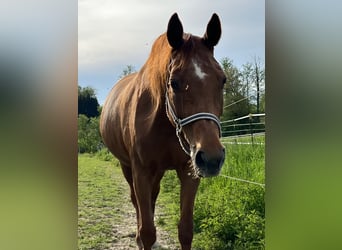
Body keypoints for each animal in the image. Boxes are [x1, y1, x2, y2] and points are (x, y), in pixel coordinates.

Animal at [100, 12, 226, 249]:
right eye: (174, 82)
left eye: (222, 80)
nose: (212, 158)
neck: (164, 124)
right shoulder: (141, 172)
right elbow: (148, 231)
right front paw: (142, 238)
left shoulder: (189, 171)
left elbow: (185, 230)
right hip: (127, 167)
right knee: (137, 202)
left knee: (152, 198)